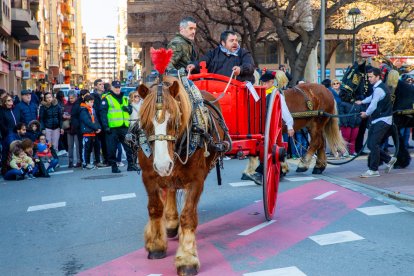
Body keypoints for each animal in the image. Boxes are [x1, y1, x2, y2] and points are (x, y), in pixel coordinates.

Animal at [135, 75, 226, 276]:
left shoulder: (196, 180)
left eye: (175, 121)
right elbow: (155, 208)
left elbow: (188, 216)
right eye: (145, 123)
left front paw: (187, 259)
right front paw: (156, 245)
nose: (162, 164)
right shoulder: (148, 176)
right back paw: (169, 223)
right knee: (169, 189)